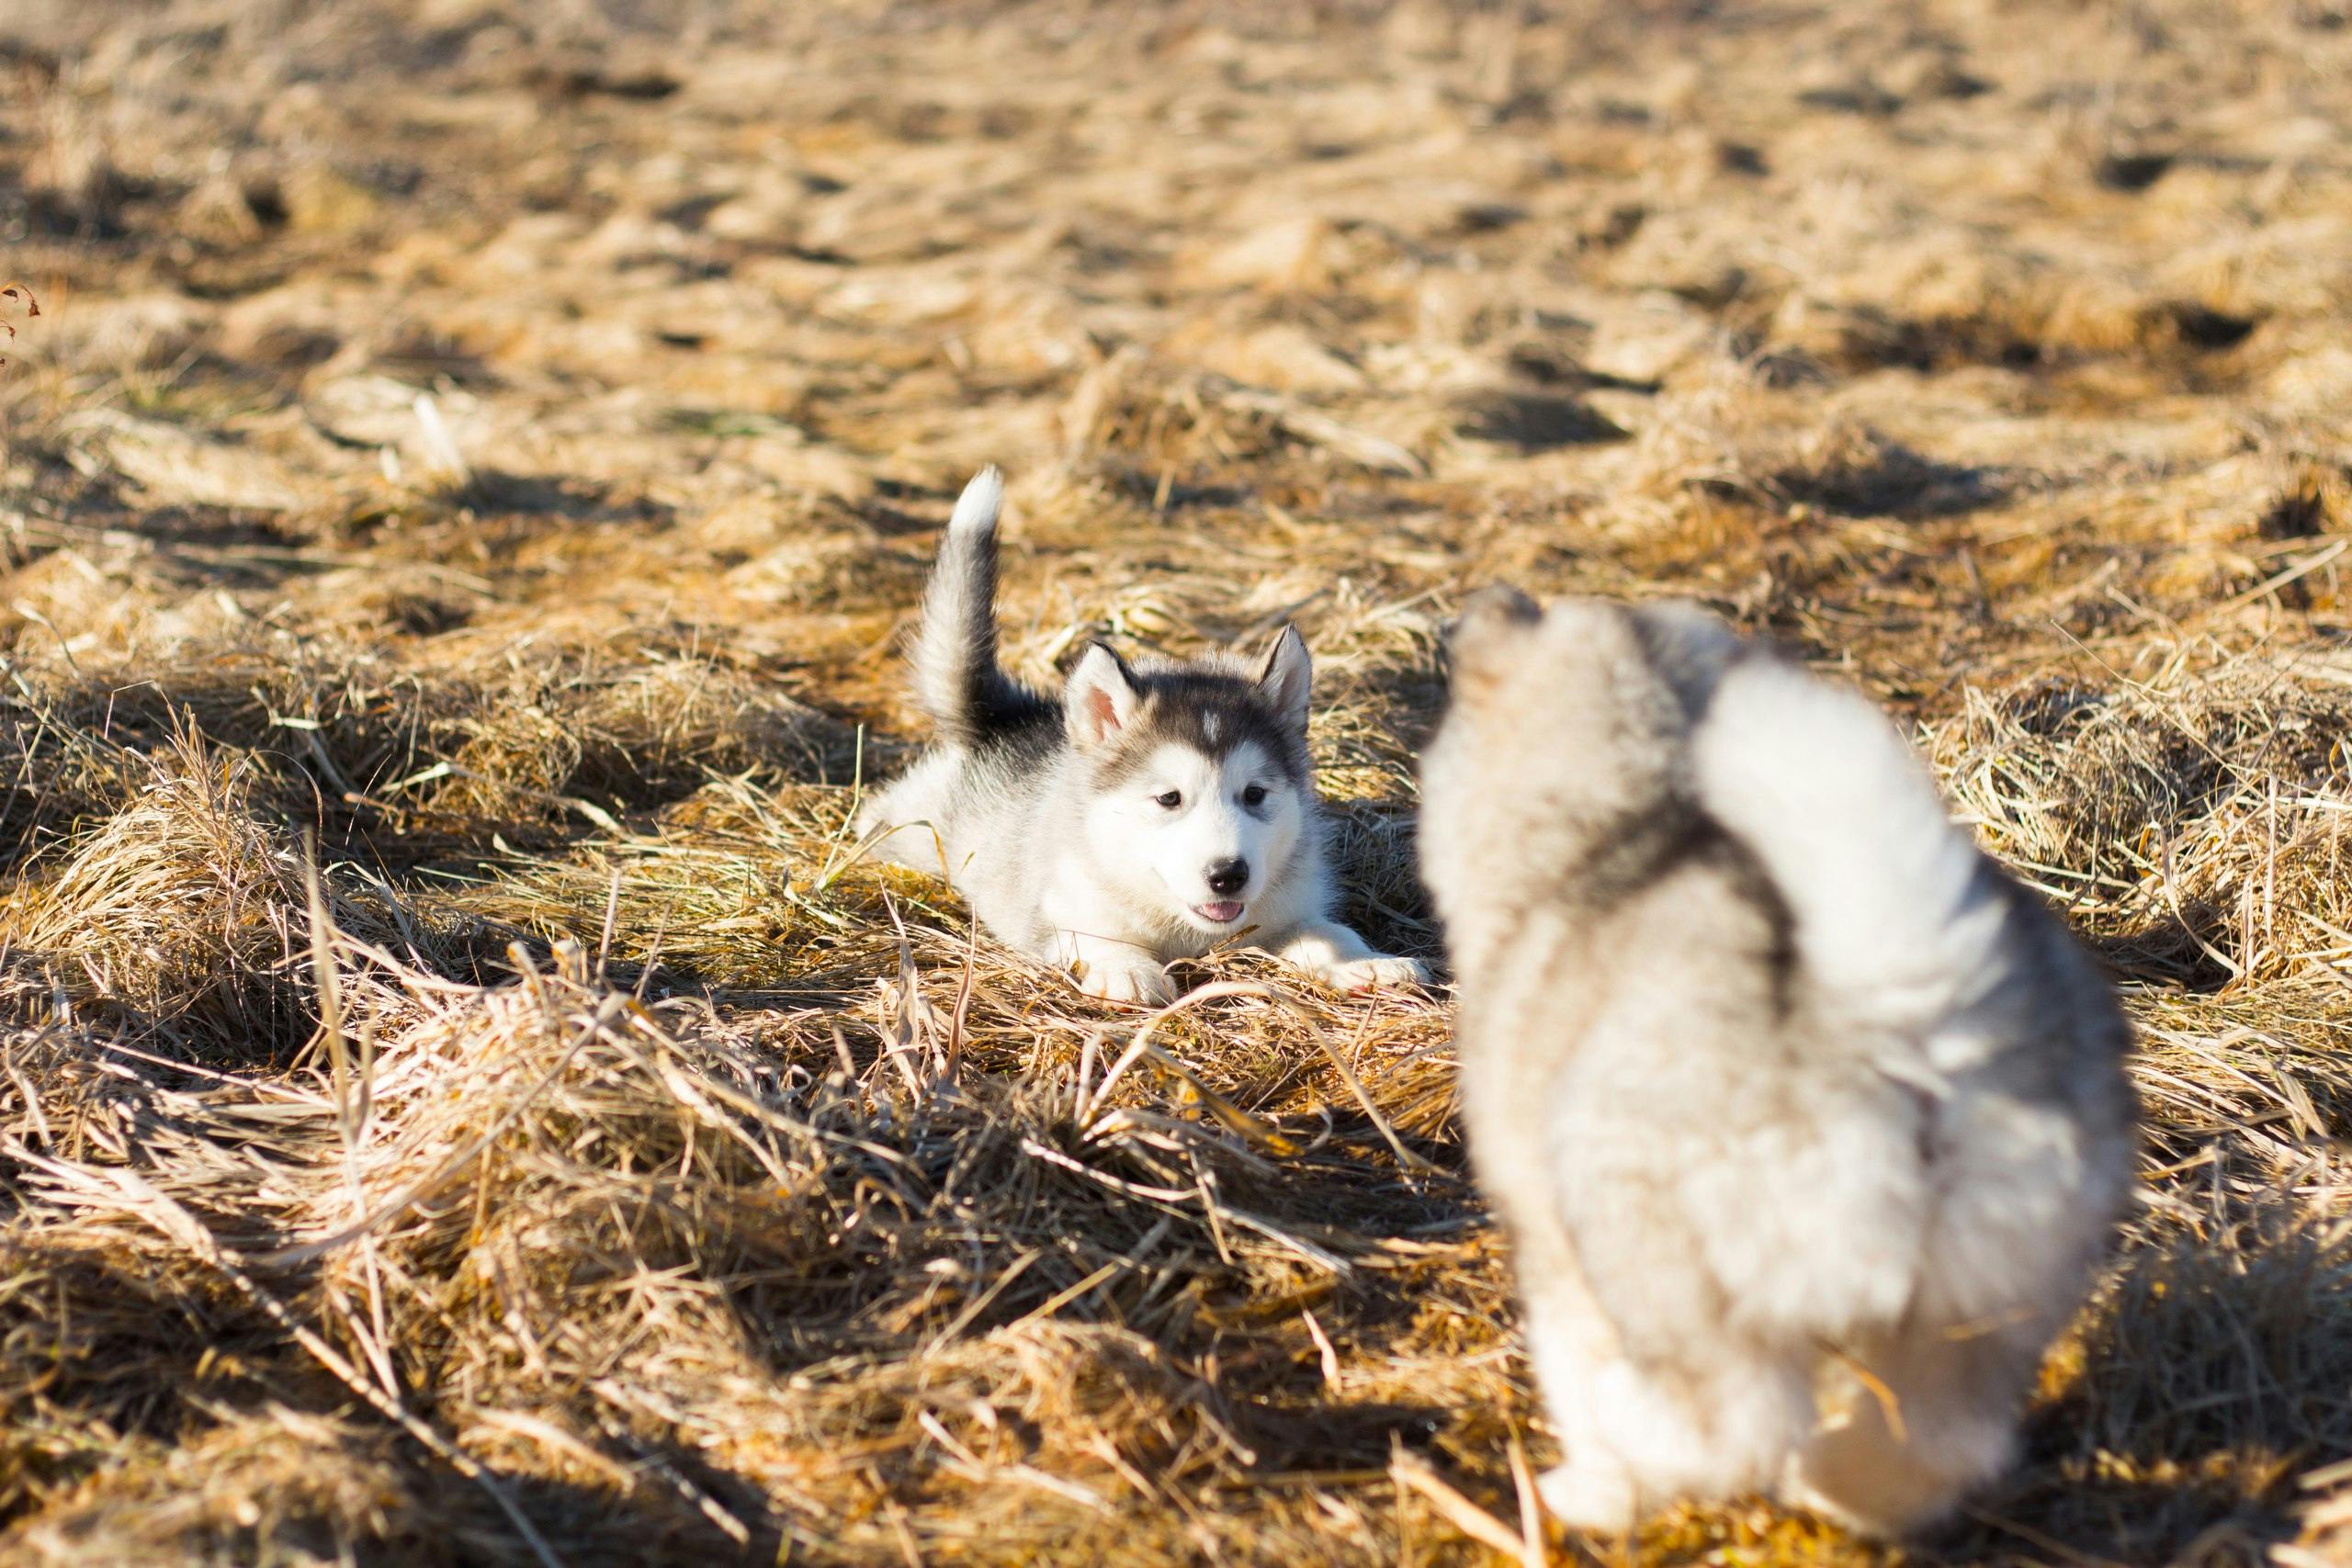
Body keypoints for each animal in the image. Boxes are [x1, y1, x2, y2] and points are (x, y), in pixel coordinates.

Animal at [855, 469, 1420, 1006]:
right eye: (1169, 798)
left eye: (1255, 794)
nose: (1228, 875)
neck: (1186, 927)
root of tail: (1013, 717)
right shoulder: (1059, 911)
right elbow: (1099, 936)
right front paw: (1126, 969)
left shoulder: (1289, 907)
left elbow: (1330, 931)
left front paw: (1365, 963)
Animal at [1401, 594, 2144, 1541]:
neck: (1624, 816)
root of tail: (1895, 1009)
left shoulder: (1552, 1249)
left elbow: (1572, 1367)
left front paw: (1601, 1482)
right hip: (1981, 1303)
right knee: (1938, 1443)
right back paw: (1832, 1484)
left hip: (1652, 1240)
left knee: (1731, 1423)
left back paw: (1609, 1470)